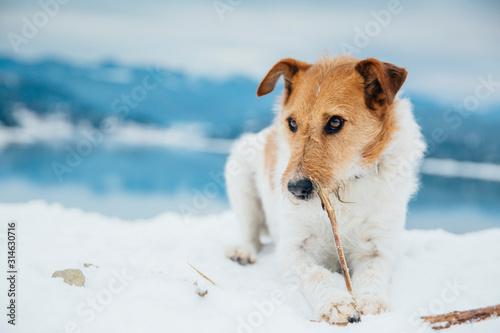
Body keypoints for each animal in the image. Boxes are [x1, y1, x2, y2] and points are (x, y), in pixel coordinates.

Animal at [225, 54, 424, 322]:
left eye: (335, 122)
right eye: (292, 123)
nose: (296, 189)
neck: (343, 188)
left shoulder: (377, 247)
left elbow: (372, 275)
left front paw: (373, 304)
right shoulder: (294, 248)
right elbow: (316, 274)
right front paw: (335, 302)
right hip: (239, 175)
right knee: (251, 233)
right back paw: (243, 251)